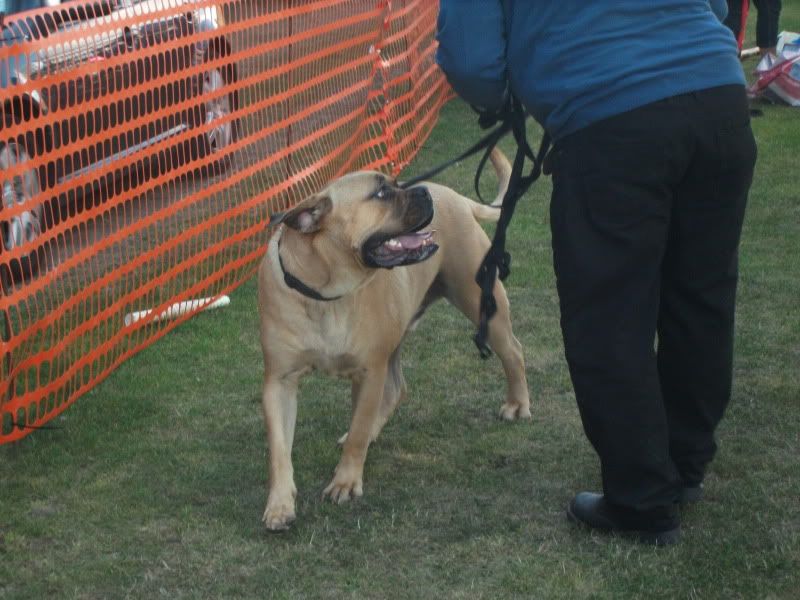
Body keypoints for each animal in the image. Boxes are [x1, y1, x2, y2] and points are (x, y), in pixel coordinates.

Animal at [258, 149, 532, 528]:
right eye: (381, 193)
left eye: (395, 184)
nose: (422, 191)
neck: (324, 293)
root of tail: (455, 196)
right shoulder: (279, 382)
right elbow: (279, 450)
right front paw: (280, 504)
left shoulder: (368, 372)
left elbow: (358, 430)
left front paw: (345, 482)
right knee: (397, 389)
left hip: (482, 303)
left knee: (513, 352)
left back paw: (517, 404)